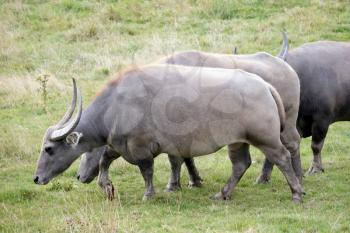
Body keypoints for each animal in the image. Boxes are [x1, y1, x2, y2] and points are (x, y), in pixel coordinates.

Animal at [33, 64, 304, 202]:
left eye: (49, 149)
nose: (36, 178)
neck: (117, 103)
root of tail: (264, 85)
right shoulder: (119, 144)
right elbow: (105, 161)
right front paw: (107, 186)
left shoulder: (140, 147)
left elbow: (146, 171)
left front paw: (148, 194)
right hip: (238, 141)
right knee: (241, 164)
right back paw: (222, 193)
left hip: (266, 138)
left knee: (281, 157)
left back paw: (297, 192)